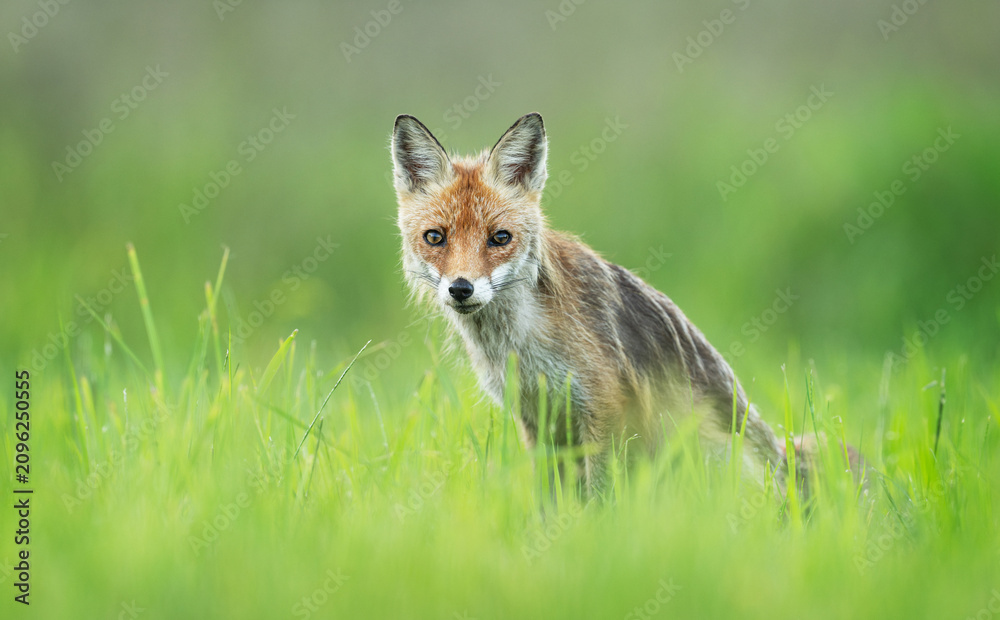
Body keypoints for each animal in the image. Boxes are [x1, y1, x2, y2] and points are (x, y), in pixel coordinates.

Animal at [390, 112, 852, 497]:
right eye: (435, 237)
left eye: (500, 238)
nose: (461, 288)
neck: (522, 342)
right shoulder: (537, 419)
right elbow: (549, 501)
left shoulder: (606, 407)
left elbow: (600, 499)